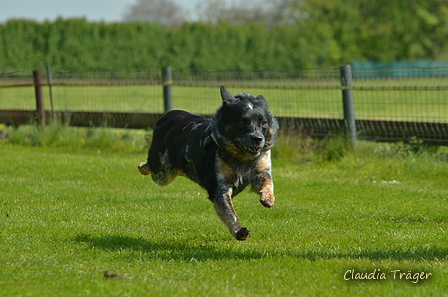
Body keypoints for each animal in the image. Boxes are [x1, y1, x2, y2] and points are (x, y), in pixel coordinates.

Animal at [137, 84, 276, 239]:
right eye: (242, 122)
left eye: (263, 122)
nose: (258, 138)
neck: (242, 159)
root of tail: (168, 115)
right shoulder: (219, 187)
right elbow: (229, 212)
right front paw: (239, 231)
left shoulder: (261, 172)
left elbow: (268, 183)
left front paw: (268, 199)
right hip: (162, 173)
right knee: (152, 167)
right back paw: (142, 166)